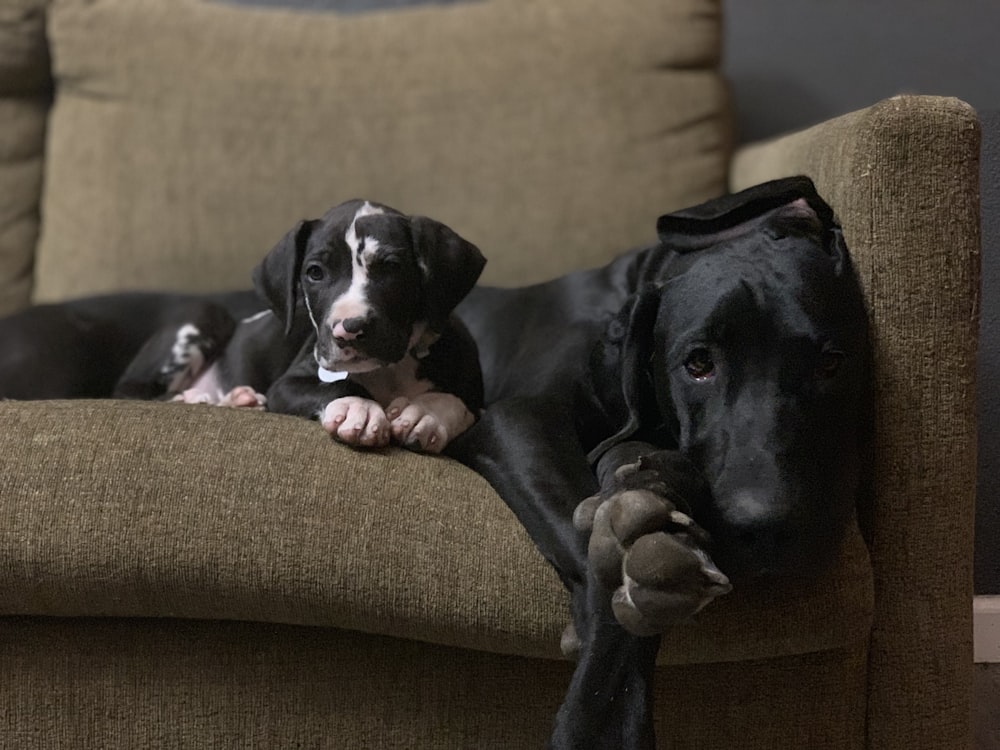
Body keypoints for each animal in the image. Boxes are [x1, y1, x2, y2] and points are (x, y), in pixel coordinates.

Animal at [450, 178, 872, 750]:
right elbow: (592, 549)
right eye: (698, 363)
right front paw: (602, 720)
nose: (764, 527)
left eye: (830, 363)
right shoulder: (521, 418)